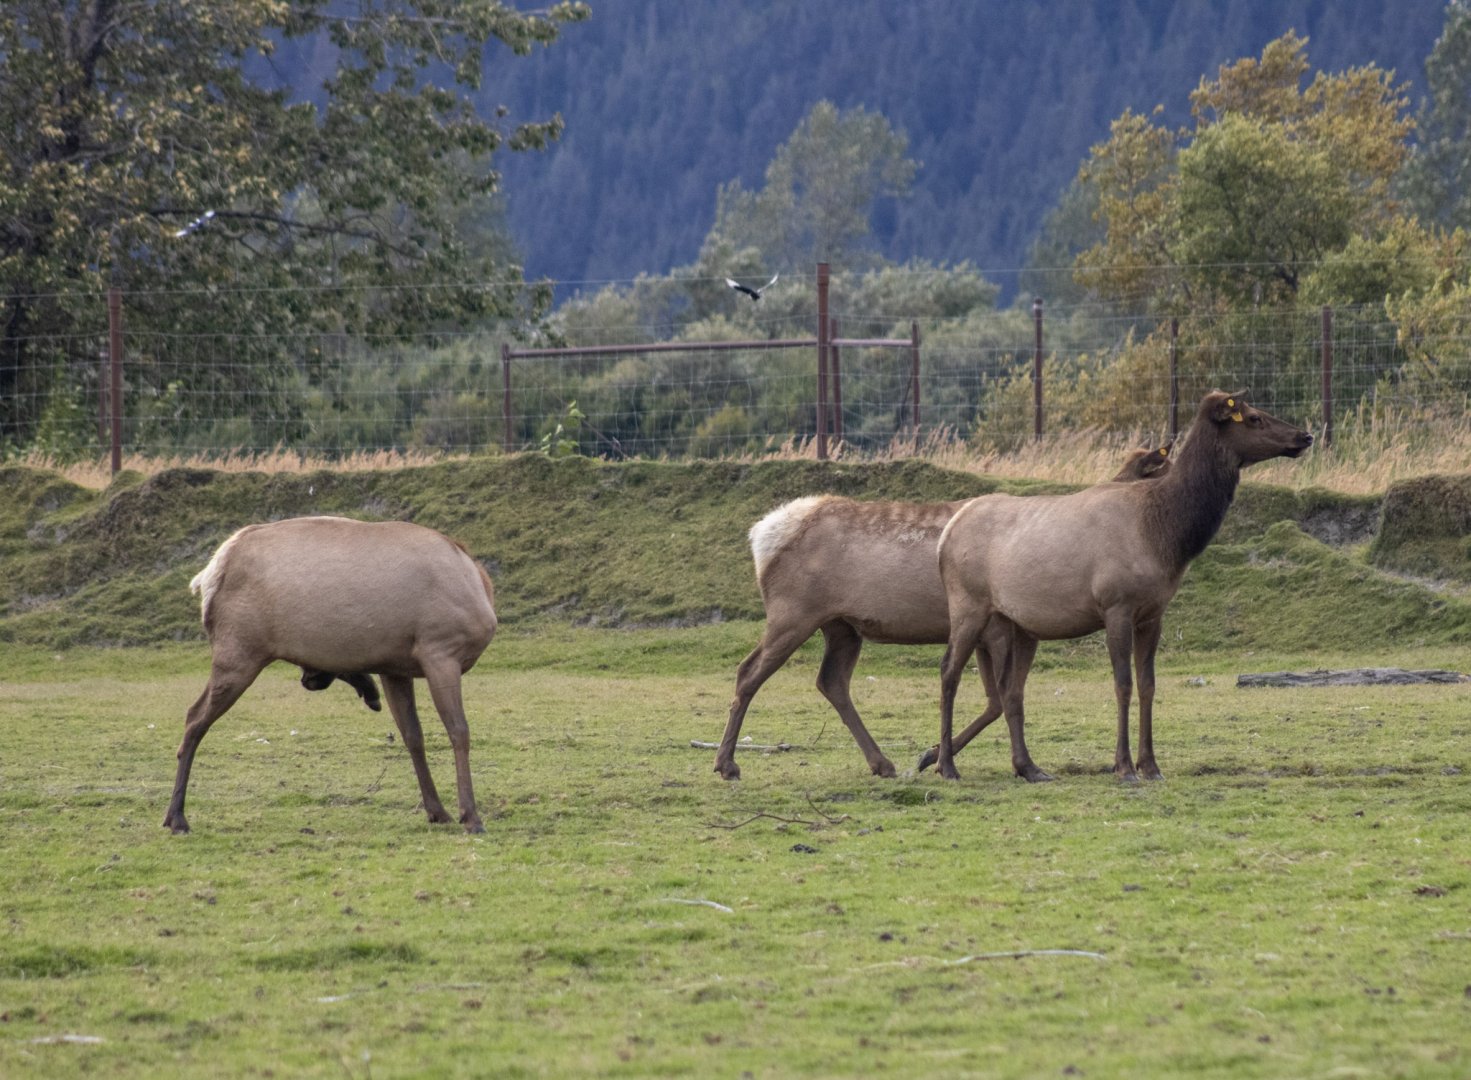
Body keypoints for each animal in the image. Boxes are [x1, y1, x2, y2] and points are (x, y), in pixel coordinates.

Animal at [165, 516, 498, 835]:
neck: (479, 585)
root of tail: (210, 572)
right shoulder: (440, 652)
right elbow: (459, 731)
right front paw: (470, 816)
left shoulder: (395, 668)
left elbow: (413, 736)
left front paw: (437, 811)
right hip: (240, 653)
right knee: (195, 717)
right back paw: (177, 817)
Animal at [713, 443, 1176, 781]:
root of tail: (762, 536)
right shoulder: (1000, 627)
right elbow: (1000, 697)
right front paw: (942, 758)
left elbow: (996, 699)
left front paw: (934, 755)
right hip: (793, 612)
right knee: (749, 671)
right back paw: (727, 763)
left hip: (841, 625)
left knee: (831, 681)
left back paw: (881, 762)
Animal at [933, 391, 1312, 784]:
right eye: (1254, 417)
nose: (1305, 436)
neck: (1165, 536)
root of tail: (945, 537)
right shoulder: (1117, 605)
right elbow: (1123, 683)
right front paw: (1125, 766)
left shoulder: (1153, 613)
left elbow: (1148, 684)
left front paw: (1152, 765)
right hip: (968, 606)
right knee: (948, 672)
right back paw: (946, 766)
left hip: (1019, 624)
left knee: (1010, 688)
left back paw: (1029, 767)